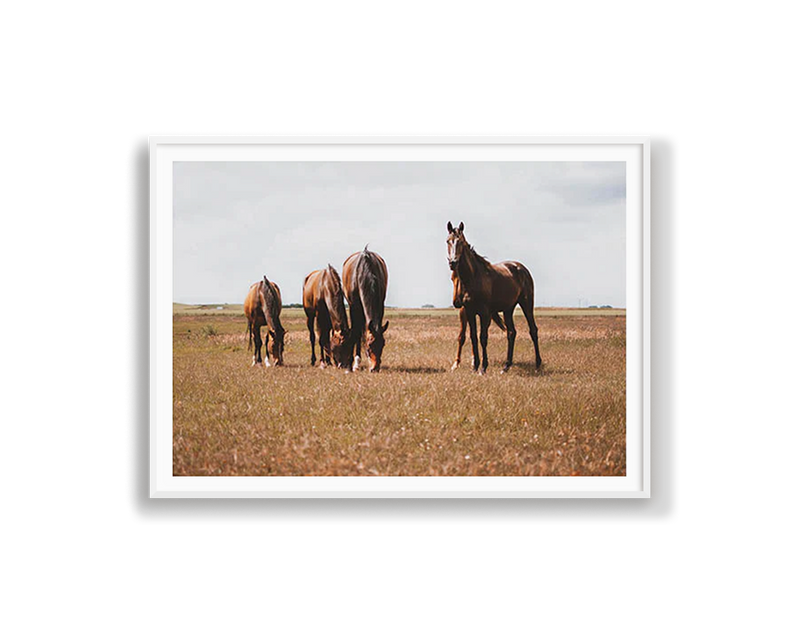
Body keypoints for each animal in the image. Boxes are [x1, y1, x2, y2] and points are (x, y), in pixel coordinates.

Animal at [446, 222, 540, 376]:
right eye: (448, 241)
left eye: (461, 242)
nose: (453, 262)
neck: (474, 278)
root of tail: (521, 268)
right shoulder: (470, 312)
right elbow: (473, 337)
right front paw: (475, 366)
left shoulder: (485, 313)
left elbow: (483, 338)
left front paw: (483, 368)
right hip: (508, 309)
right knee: (511, 332)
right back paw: (506, 366)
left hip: (527, 304)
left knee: (533, 330)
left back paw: (538, 364)